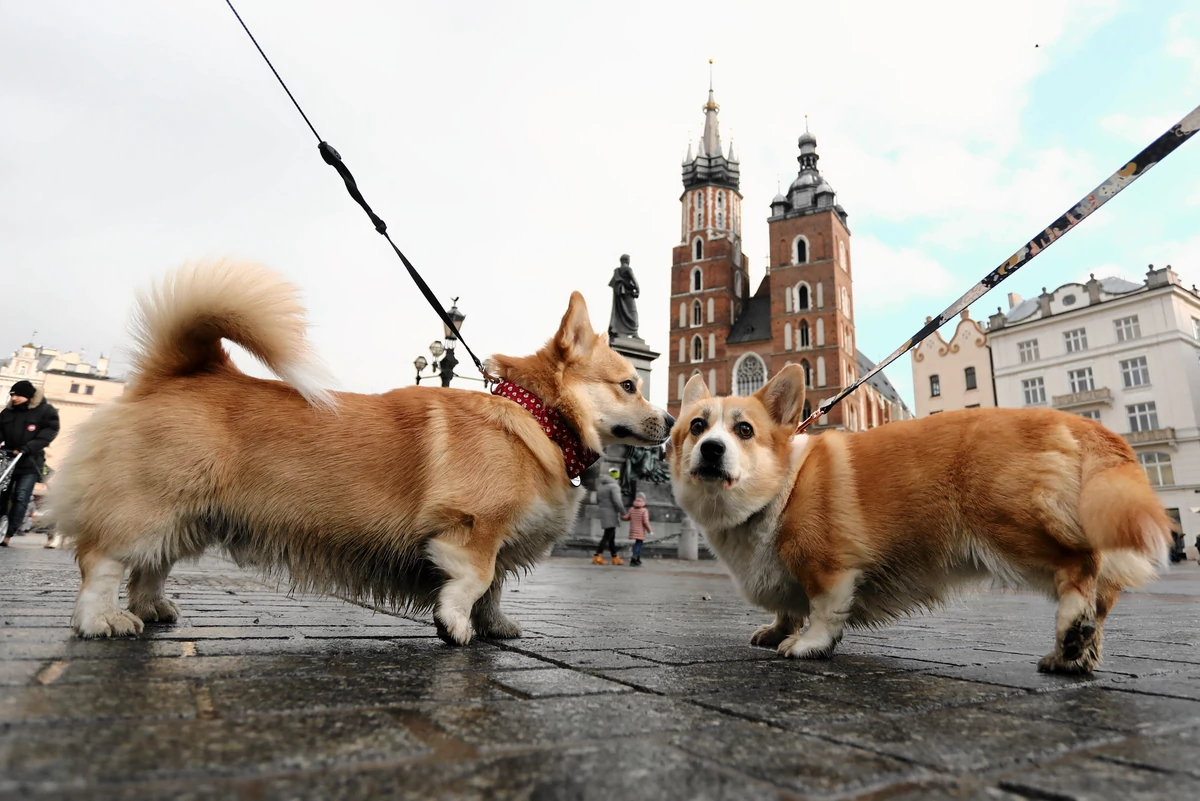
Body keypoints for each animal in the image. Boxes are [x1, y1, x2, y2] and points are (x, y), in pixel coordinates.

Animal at [51, 262, 676, 642]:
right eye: (629, 385)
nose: (673, 422)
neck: (540, 419)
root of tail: (181, 372)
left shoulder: (501, 541)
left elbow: (495, 588)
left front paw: (494, 626)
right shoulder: (472, 528)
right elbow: (473, 581)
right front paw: (455, 626)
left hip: (189, 514)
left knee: (152, 564)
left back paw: (151, 608)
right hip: (149, 504)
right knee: (103, 561)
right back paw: (103, 619)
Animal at [672, 366, 1176, 671]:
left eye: (744, 430)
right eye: (697, 427)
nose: (711, 449)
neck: (781, 488)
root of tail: (1079, 423)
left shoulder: (830, 567)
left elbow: (823, 610)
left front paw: (807, 643)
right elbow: (787, 606)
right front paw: (777, 628)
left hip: (1011, 528)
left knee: (1082, 567)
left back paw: (1071, 628)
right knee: (1103, 596)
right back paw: (1071, 654)